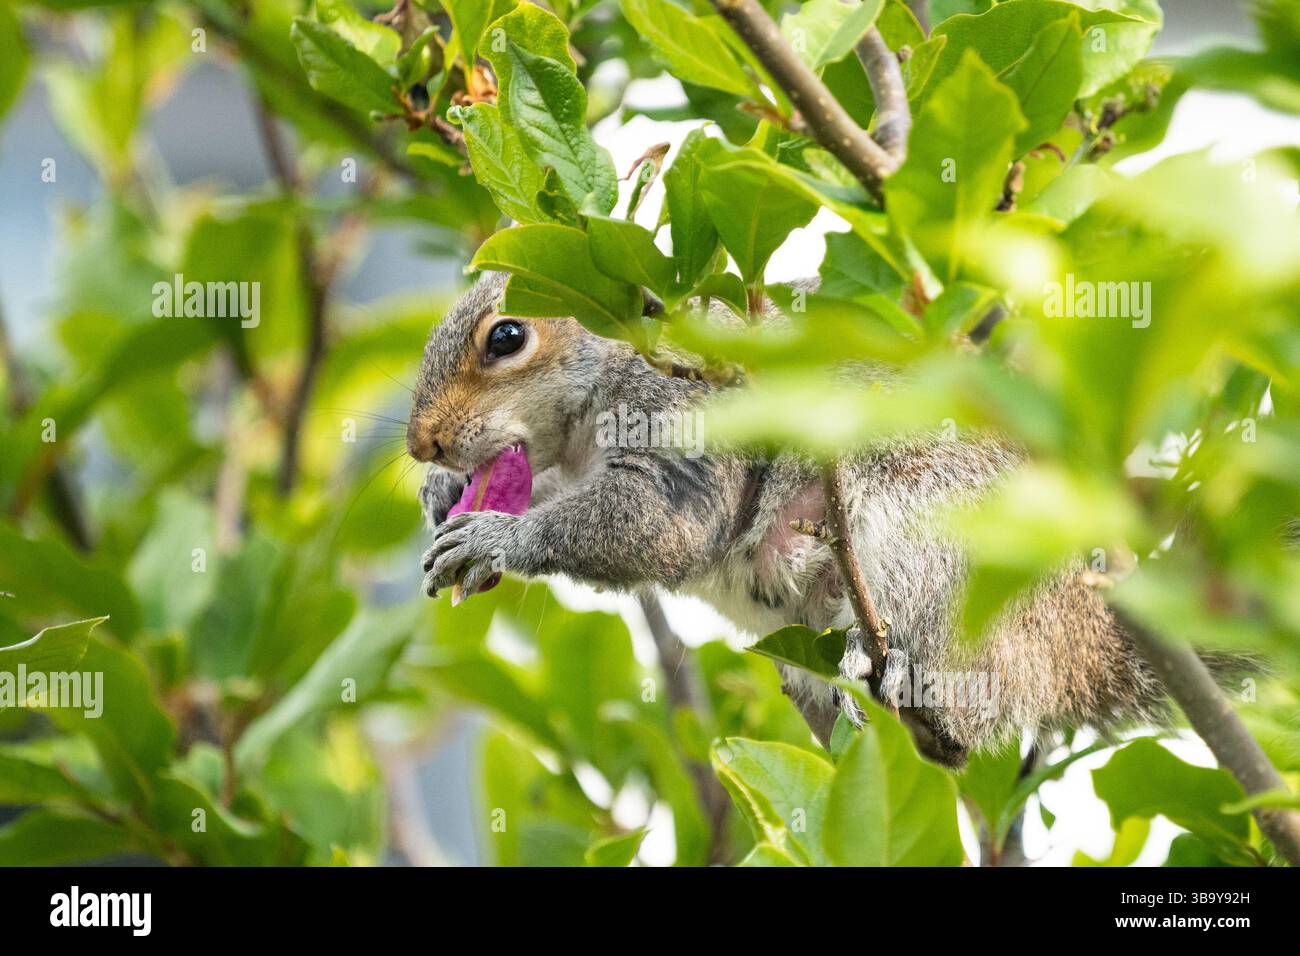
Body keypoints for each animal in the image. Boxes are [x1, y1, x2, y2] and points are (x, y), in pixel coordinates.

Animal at [407, 271, 1202, 767]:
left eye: (507, 337)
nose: (422, 445)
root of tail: (1076, 651)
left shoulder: (686, 421)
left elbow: (661, 526)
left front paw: (498, 536)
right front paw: (444, 495)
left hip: (942, 545)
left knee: (962, 706)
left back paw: (886, 663)